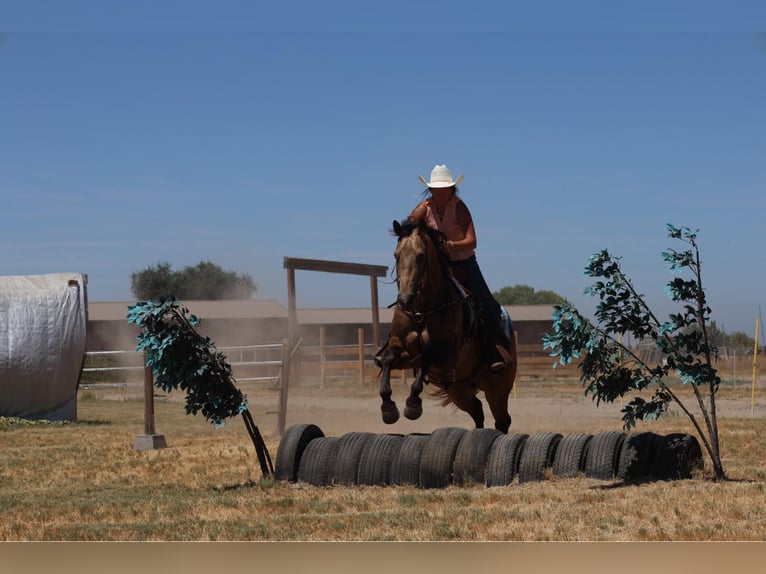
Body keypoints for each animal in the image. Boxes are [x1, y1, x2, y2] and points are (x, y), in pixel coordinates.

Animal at [376, 218, 520, 434]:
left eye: (421, 256)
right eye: (396, 255)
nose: (405, 299)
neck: (422, 311)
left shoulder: (447, 356)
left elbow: (426, 357)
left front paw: (412, 405)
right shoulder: (402, 349)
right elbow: (387, 359)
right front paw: (388, 408)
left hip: (497, 389)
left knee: (502, 421)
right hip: (458, 390)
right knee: (477, 410)